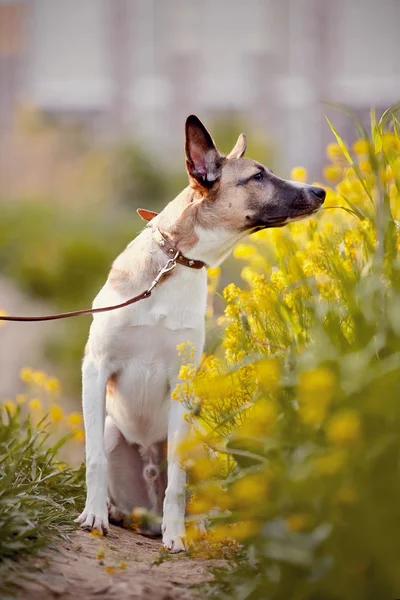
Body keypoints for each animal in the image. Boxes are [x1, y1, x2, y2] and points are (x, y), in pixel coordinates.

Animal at [75, 115, 324, 552]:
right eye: (258, 176)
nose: (321, 191)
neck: (174, 264)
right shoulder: (96, 368)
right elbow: (94, 459)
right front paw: (94, 515)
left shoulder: (182, 383)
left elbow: (177, 479)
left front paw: (176, 537)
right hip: (111, 430)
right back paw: (115, 511)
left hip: (199, 441)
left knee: (192, 492)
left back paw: (192, 527)